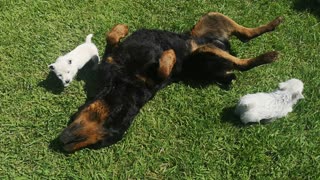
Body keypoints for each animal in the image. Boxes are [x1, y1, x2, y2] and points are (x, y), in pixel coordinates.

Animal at [58, 11, 282, 152]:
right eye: (98, 143)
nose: (63, 145)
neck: (122, 85)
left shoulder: (115, 63)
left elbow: (113, 37)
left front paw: (123, 29)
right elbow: (161, 66)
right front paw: (169, 55)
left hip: (211, 23)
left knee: (245, 43)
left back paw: (271, 37)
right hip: (207, 48)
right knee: (244, 49)